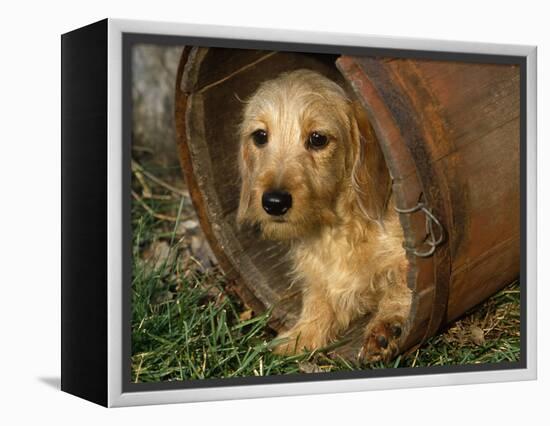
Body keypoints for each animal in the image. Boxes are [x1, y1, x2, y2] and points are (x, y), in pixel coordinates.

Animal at [237, 68, 414, 362]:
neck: (337, 229)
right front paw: (297, 338)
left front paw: (388, 325)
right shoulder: (321, 278)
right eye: (260, 136)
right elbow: (319, 303)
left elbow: (401, 284)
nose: (274, 202)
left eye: (318, 138)